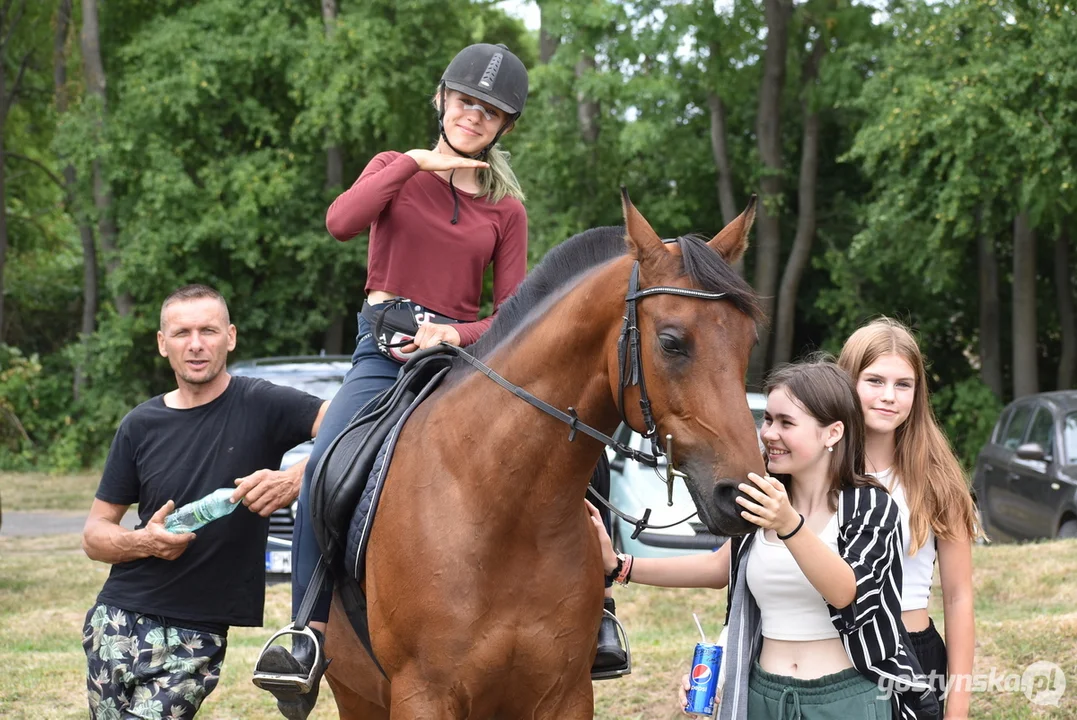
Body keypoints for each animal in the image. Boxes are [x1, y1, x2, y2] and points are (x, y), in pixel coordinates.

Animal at [318, 193, 766, 714]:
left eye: (749, 342)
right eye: (672, 342)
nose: (740, 494)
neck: (505, 507)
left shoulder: (565, 693)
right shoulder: (422, 694)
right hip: (357, 693)